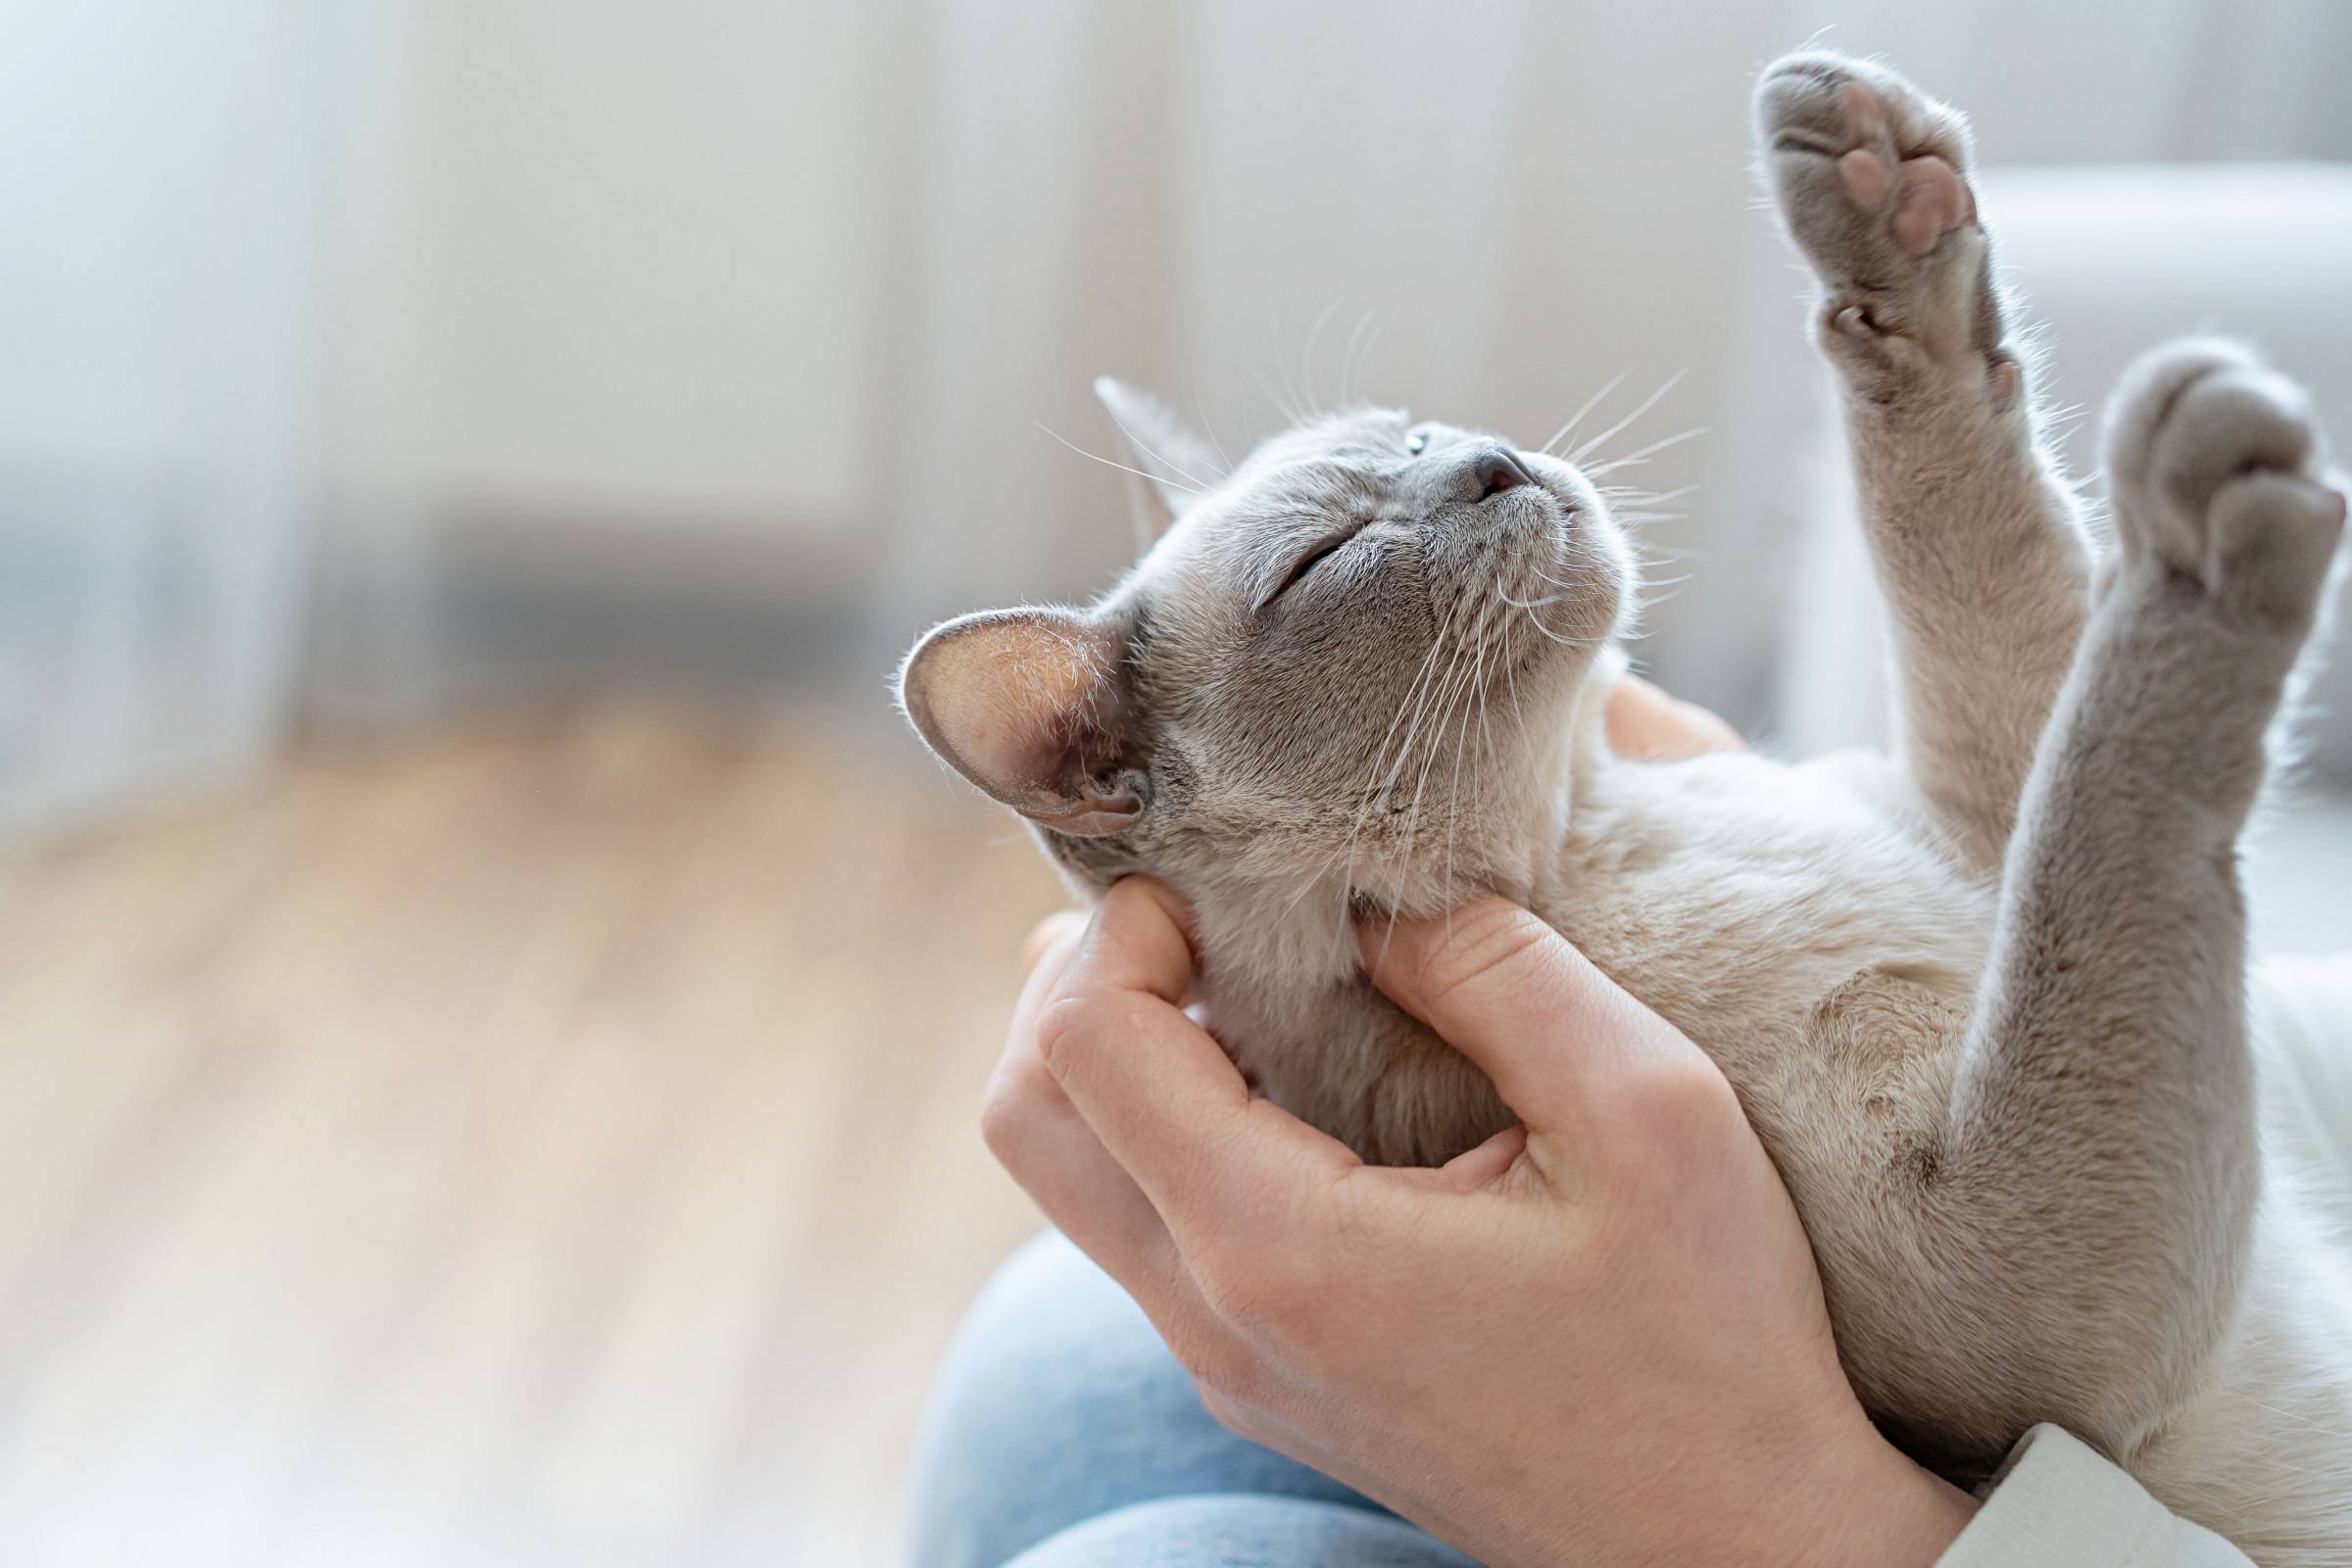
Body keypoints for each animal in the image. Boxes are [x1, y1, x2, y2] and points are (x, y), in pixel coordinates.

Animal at [894, 52, 2352, 1568]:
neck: (1590, 830)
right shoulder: (2019, 1315)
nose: (1492, 457)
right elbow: (2109, 794)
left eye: (1417, 434)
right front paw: (2200, 520)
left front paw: (1874, 190)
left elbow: (1979, 569)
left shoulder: (1982, 817)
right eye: (1327, 560)